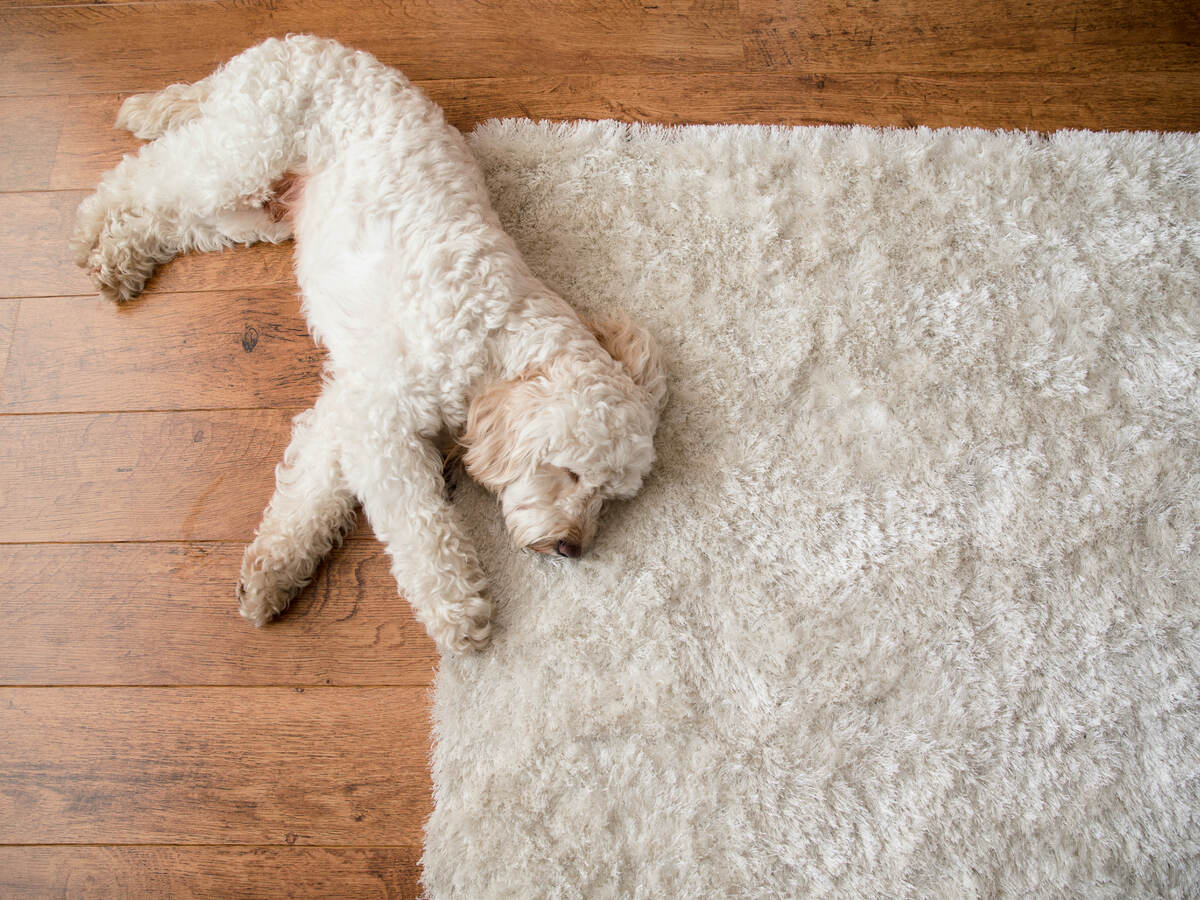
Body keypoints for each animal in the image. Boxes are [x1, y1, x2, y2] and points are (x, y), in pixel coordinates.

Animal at [73, 37, 667, 657]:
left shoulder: (350, 406)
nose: (574, 548)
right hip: (237, 157)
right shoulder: (383, 420)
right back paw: (91, 229)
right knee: (139, 176)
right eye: (570, 473)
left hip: (254, 212)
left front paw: (273, 572)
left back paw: (120, 256)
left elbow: (311, 492)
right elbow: (421, 526)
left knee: (172, 218)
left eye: (609, 498)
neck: (493, 338)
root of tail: (290, 42)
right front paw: (457, 609)